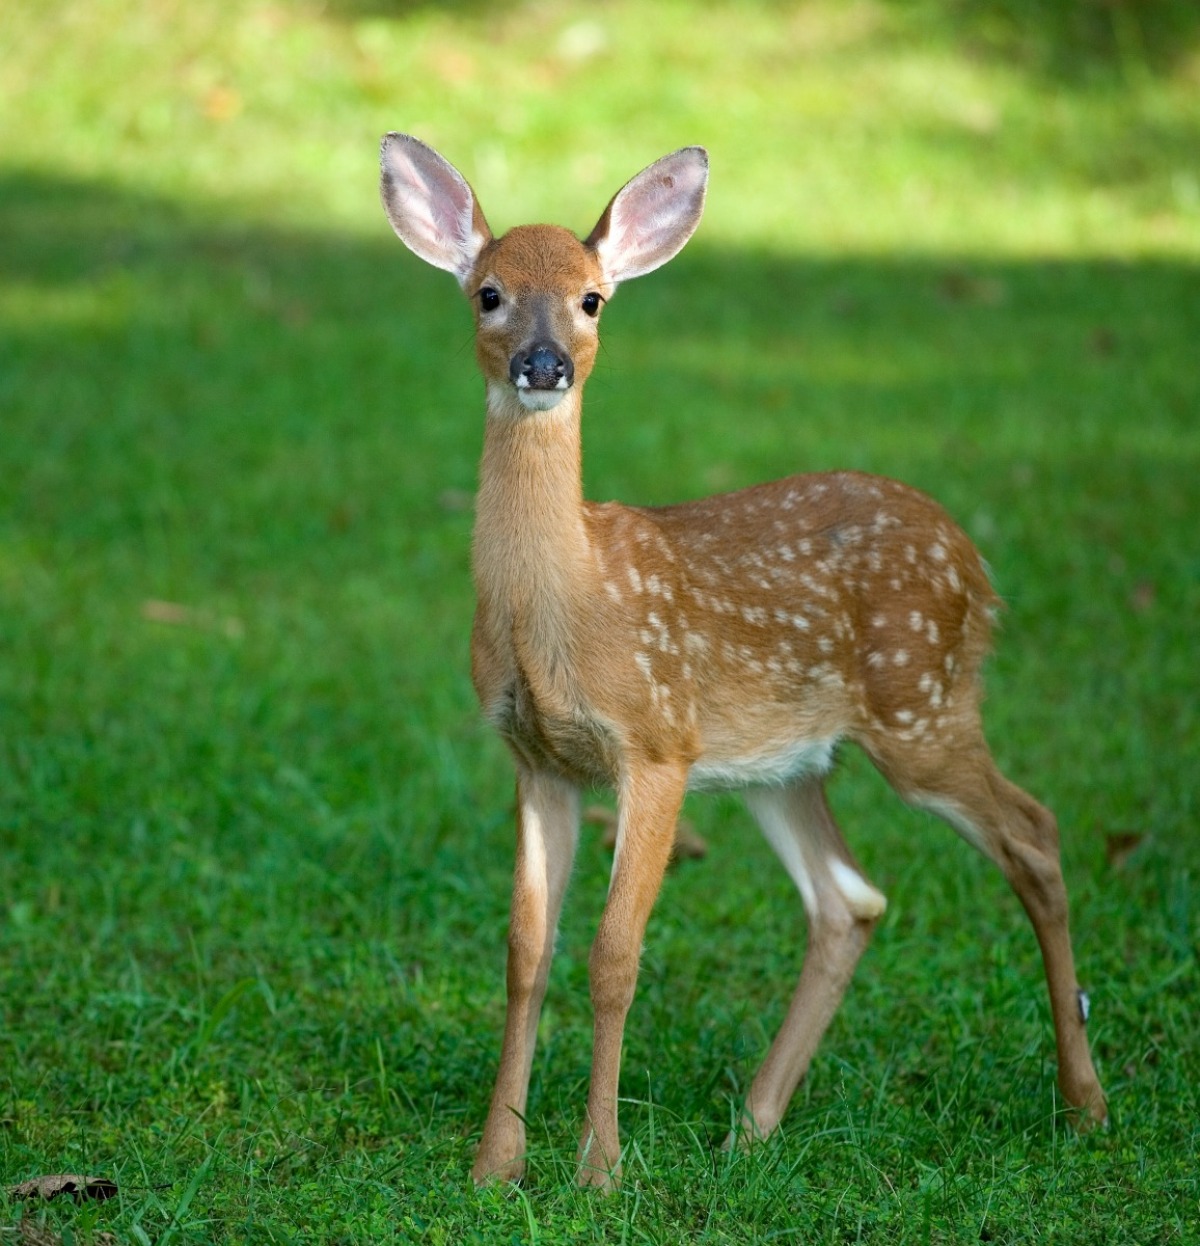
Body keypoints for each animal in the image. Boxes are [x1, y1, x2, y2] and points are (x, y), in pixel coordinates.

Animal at [381, 136, 1106, 1186]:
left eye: (593, 298)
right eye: (488, 292)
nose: (543, 364)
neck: (566, 602)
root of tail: (976, 563)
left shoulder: (657, 741)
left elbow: (614, 955)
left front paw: (598, 1170)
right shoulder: (536, 759)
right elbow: (526, 951)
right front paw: (495, 1166)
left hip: (920, 703)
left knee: (1035, 831)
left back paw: (1084, 1102)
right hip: (785, 763)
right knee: (849, 899)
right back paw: (752, 1125)